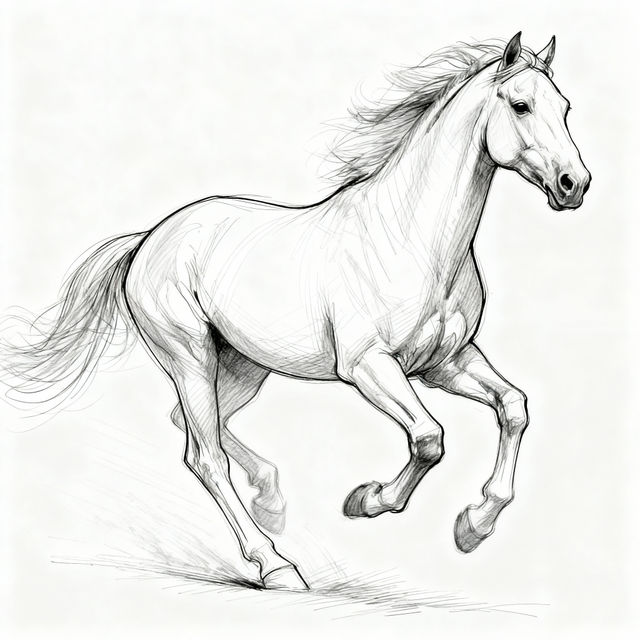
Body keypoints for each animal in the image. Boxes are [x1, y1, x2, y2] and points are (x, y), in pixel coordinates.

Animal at [2, 33, 590, 591]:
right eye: (520, 105)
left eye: (564, 107)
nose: (574, 185)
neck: (414, 240)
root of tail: (150, 239)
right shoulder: (368, 366)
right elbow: (429, 438)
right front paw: (369, 500)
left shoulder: (446, 362)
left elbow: (513, 407)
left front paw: (475, 525)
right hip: (191, 357)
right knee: (204, 455)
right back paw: (276, 566)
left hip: (243, 365)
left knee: (195, 426)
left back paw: (272, 501)